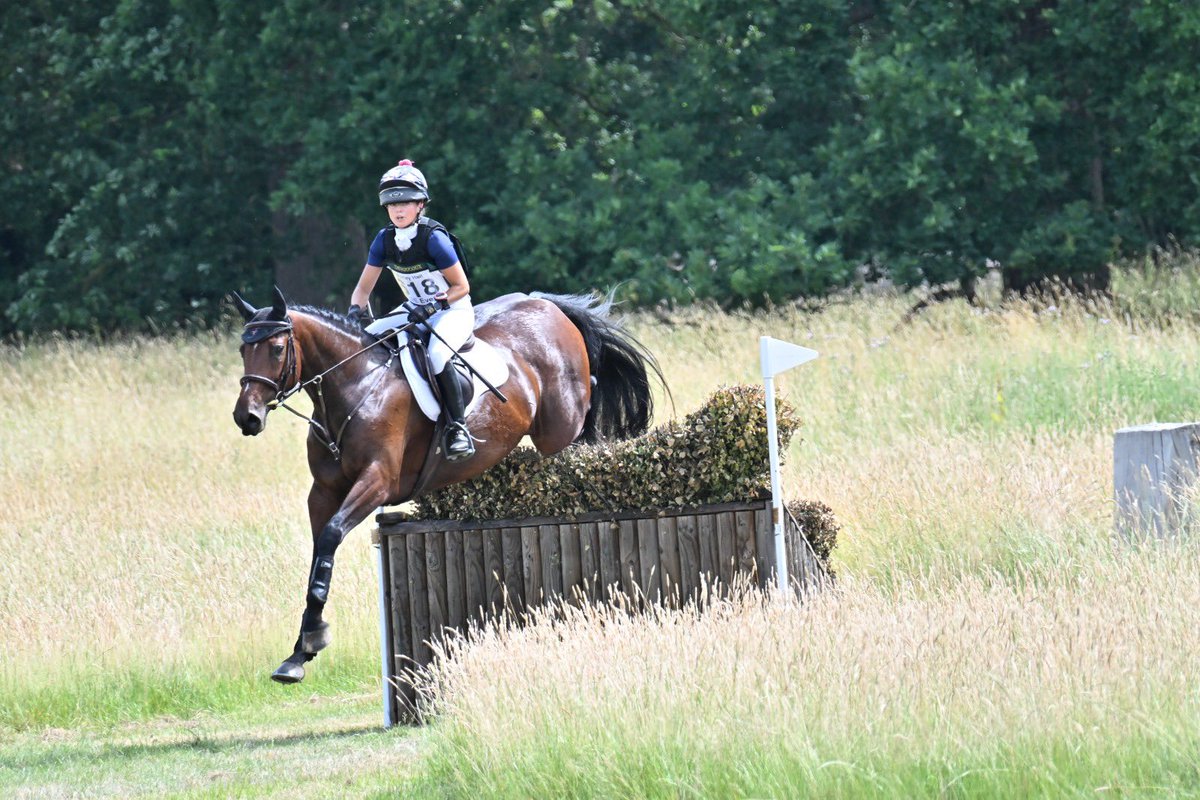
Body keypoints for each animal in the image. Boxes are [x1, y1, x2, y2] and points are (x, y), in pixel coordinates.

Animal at [231, 286, 662, 683]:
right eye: (242, 350)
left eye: (276, 349)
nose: (247, 418)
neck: (356, 386)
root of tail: (545, 303)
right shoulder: (322, 492)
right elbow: (319, 557)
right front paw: (300, 652)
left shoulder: (377, 481)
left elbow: (332, 535)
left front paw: (311, 639)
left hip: (558, 427)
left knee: (585, 408)